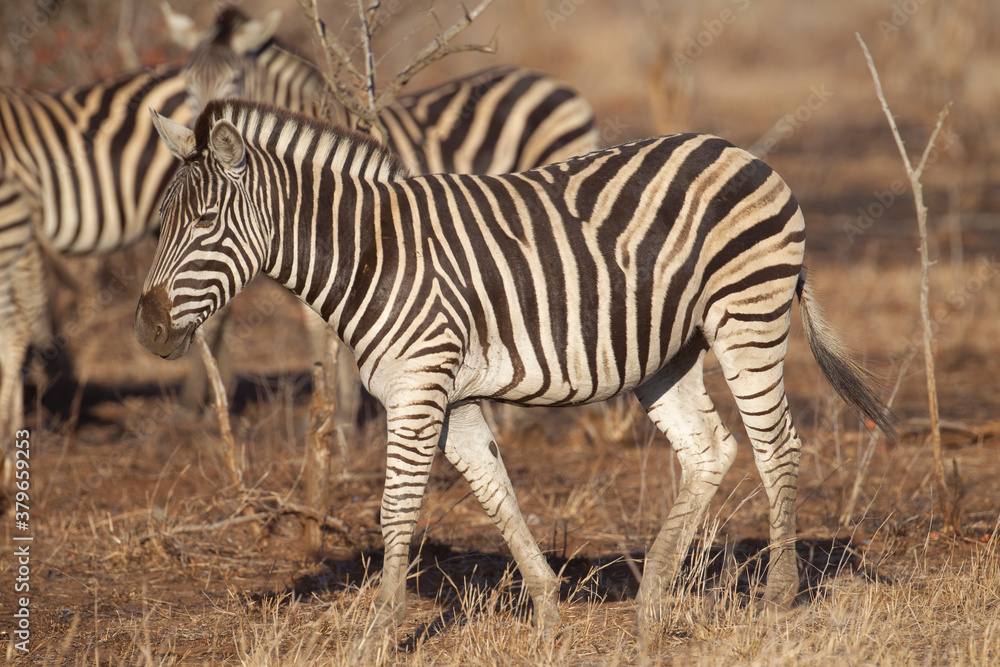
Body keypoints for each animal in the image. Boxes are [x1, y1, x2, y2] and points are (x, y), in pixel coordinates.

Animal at [135, 100, 897, 646]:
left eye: (205, 221)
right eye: (161, 225)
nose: (147, 327)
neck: (372, 255)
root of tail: (745, 154)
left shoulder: (418, 387)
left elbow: (396, 510)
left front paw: (377, 634)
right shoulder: (453, 395)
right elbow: (495, 490)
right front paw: (550, 613)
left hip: (748, 316)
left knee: (777, 446)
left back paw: (777, 599)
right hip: (669, 351)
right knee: (709, 447)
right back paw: (651, 600)